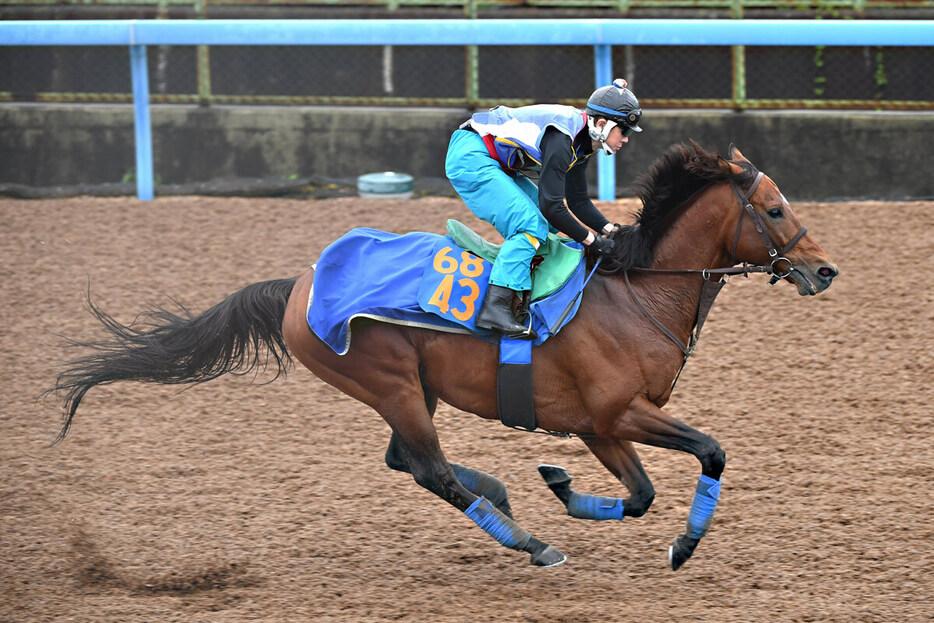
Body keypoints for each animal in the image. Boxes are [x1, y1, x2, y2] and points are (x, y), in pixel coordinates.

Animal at [51, 141, 840, 572]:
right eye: (775, 209)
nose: (824, 269)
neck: (636, 291)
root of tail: (300, 283)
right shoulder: (620, 412)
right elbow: (711, 451)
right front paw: (682, 547)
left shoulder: (598, 424)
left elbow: (641, 493)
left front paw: (560, 483)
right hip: (390, 381)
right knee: (427, 468)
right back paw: (528, 540)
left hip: (413, 389)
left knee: (408, 461)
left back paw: (503, 495)